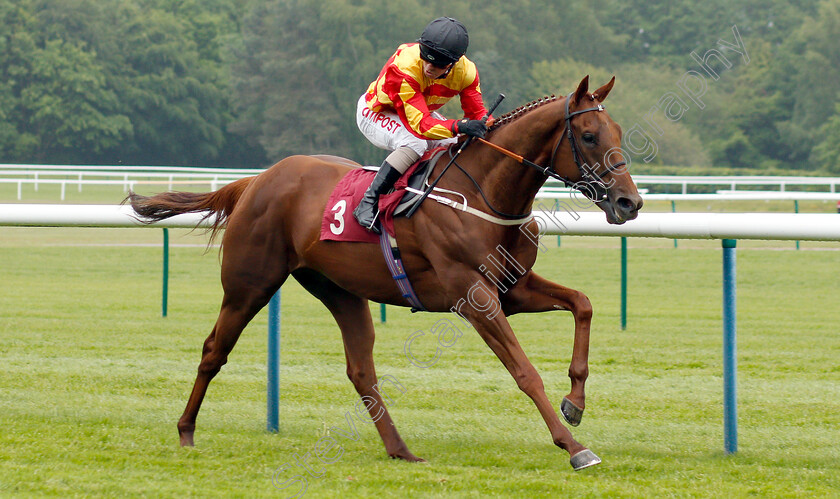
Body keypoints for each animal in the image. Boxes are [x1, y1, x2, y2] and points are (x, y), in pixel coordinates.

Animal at [130, 76, 644, 470]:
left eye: (618, 130)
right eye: (590, 136)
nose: (629, 202)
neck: (485, 192)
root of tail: (257, 180)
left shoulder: (512, 289)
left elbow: (582, 304)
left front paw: (575, 404)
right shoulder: (474, 297)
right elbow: (525, 371)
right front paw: (575, 448)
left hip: (340, 291)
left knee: (361, 370)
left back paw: (401, 450)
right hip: (249, 285)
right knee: (214, 350)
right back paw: (186, 431)